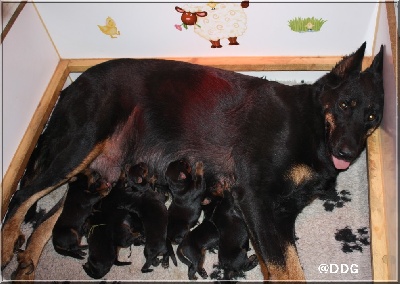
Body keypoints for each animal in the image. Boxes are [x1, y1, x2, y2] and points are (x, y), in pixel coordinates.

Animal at [3, 42, 384, 280]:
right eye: (346, 105)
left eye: (371, 117)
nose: (347, 154)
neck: (313, 122)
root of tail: (72, 85)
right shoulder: (256, 197)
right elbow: (285, 269)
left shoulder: (280, 215)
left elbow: (285, 265)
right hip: (82, 144)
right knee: (22, 196)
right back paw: (8, 246)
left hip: (99, 178)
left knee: (48, 218)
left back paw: (27, 264)